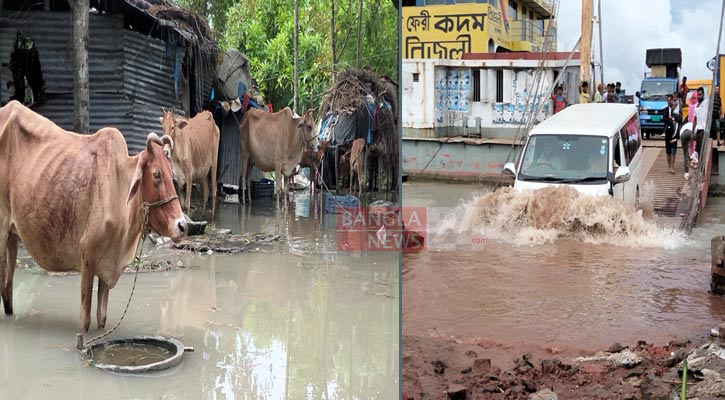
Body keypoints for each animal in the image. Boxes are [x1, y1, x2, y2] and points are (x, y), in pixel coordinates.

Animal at [0, 101, 187, 332]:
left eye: (171, 174)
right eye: (156, 175)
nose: (182, 226)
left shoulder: (107, 265)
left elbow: (102, 318)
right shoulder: (87, 257)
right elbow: (86, 321)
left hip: (12, 234)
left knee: (7, 289)